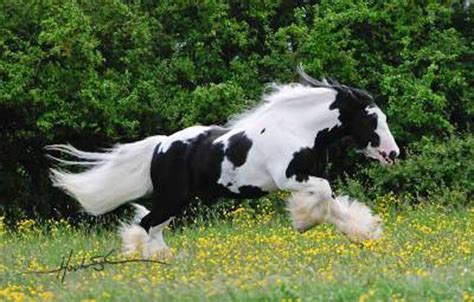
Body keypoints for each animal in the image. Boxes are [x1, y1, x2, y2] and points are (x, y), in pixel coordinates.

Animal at [48, 69, 398, 260]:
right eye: (372, 119)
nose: (393, 153)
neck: (298, 128)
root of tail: (160, 146)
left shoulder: (309, 176)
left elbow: (333, 204)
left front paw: (362, 233)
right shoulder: (289, 178)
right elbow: (325, 195)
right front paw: (303, 222)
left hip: (176, 201)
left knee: (150, 225)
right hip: (173, 199)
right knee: (147, 224)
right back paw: (157, 263)